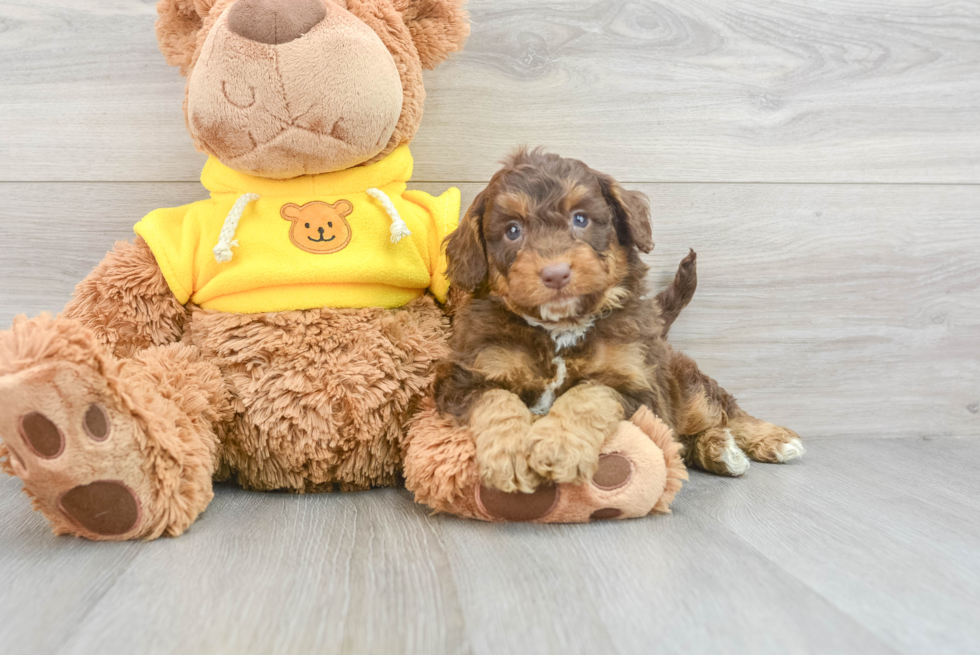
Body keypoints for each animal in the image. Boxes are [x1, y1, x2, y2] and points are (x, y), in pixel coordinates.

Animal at [438, 149, 804, 494]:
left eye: (580, 219)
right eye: (513, 230)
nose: (555, 273)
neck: (561, 329)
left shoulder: (641, 389)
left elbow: (591, 392)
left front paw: (558, 446)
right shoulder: (470, 377)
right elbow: (497, 400)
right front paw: (510, 454)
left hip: (687, 385)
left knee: (721, 409)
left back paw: (774, 439)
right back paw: (718, 450)